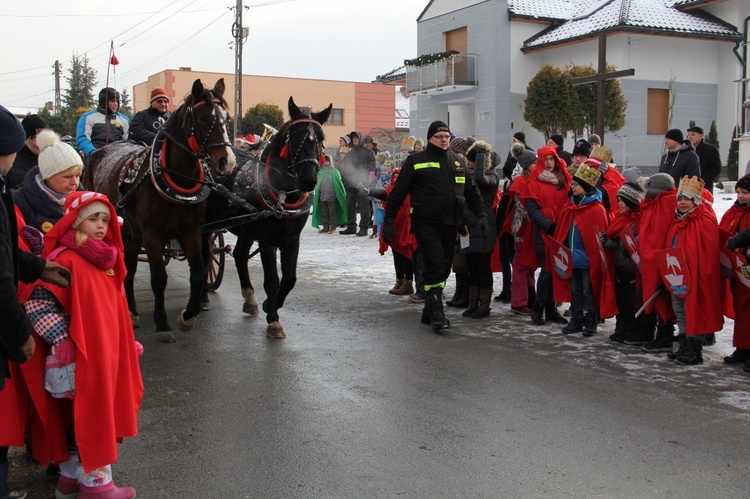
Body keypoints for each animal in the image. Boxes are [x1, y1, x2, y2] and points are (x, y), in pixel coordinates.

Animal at [84, 79, 235, 344]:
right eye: (204, 118)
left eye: (226, 118)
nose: (227, 162)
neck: (175, 177)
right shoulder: (152, 234)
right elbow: (158, 278)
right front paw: (162, 324)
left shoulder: (191, 231)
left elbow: (198, 272)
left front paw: (188, 316)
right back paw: (130, 311)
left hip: (132, 233)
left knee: (130, 265)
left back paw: (133, 311)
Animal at [207, 96, 334, 340]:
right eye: (295, 136)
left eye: (321, 137)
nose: (308, 179)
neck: (283, 193)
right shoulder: (267, 240)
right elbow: (273, 281)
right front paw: (274, 320)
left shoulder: (292, 239)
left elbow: (290, 278)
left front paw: (270, 305)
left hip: (246, 228)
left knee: (239, 255)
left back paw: (250, 299)